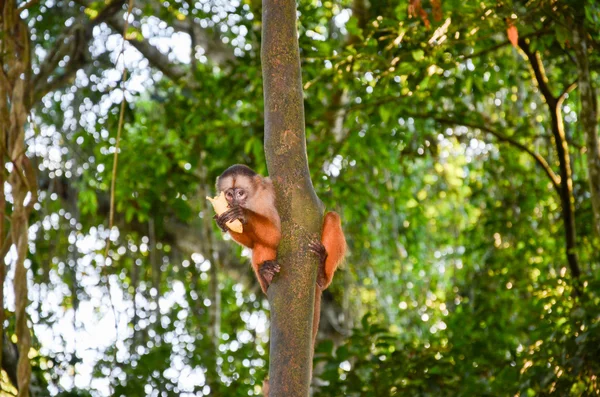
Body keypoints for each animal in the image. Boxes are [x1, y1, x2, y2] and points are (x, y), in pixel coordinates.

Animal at [214, 163, 346, 344]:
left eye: (240, 193)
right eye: (229, 194)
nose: (234, 201)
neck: (251, 201)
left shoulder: (266, 198)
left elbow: (277, 235)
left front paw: (242, 214)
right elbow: (252, 243)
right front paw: (223, 222)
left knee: (332, 217)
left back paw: (321, 272)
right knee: (258, 245)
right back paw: (267, 276)